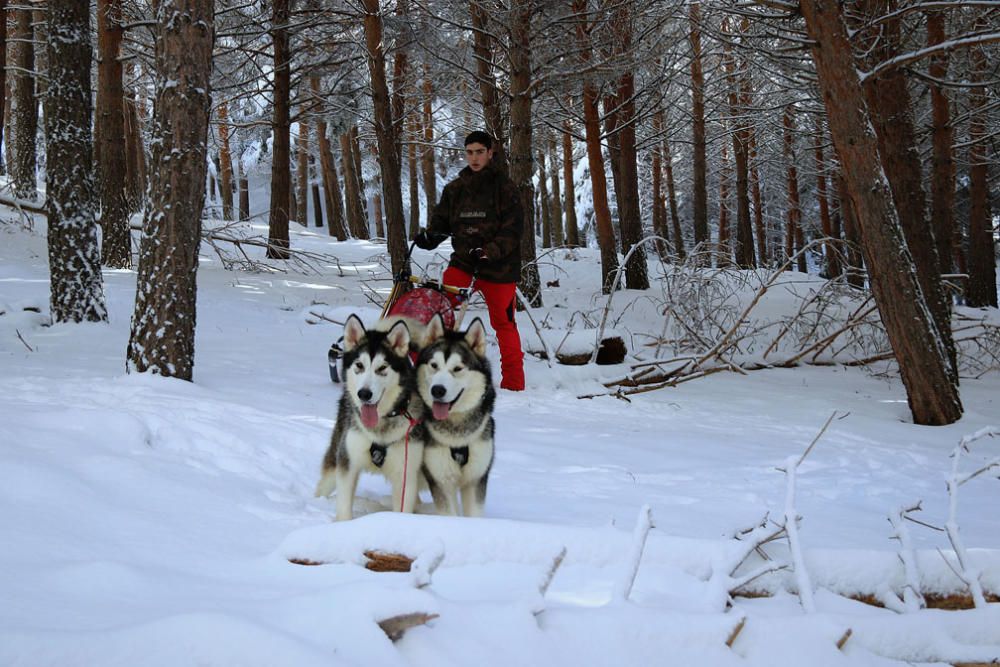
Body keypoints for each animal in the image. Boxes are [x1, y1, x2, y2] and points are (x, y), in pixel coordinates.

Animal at [314, 316, 428, 524]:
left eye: (382, 368)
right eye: (359, 365)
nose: (364, 394)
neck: (381, 424)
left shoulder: (405, 473)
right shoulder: (347, 464)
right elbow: (344, 507)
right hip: (335, 460)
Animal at [414, 316, 496, 520]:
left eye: (457, 368)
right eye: (434, 366)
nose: (437, 390)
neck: (458, 432)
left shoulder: (476, 479)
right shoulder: (441, 480)